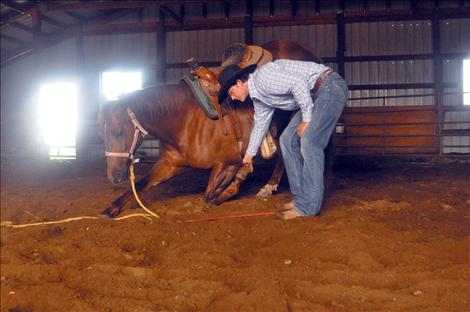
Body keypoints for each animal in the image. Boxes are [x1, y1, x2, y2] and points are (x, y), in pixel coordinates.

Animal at [99, 39, 326, 217]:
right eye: (102, 134)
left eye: (118, 132)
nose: (114, 176)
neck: (183, 119)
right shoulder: (169, 164)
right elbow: (139, 185)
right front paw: (112, 207)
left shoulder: (228, 163)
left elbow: (209, 196)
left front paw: (231, 189)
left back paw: (271, 187)